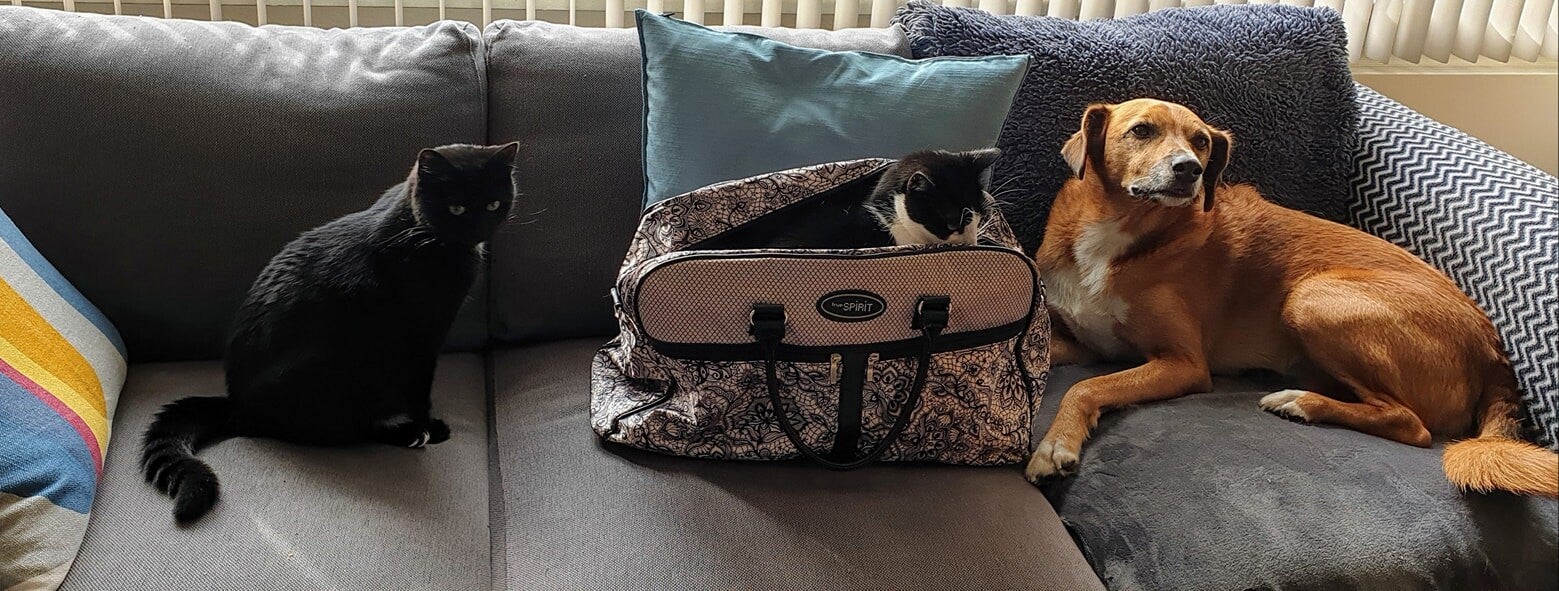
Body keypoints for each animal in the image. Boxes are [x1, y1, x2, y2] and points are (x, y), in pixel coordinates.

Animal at [140, 142, 519, 524]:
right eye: (456, 208)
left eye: (493, 204)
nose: (477, 228)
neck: (417, 230)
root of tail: (235, 403)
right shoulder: (422, 340)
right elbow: (420, 392)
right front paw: (428, 425)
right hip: (341, 367)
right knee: (341, 430)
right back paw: (408, 434)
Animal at [1023, 98, 1559, 498]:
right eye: (1141, 130)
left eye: (1201, 141)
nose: (1189, 169)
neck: (1118, 229)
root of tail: (1493, 352)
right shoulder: (1084, 343)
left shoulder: (1182, 364)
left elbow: (1088, 387)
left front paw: (1055, 445)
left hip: (1312, 295)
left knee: (1413, 425)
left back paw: (1302, 403)